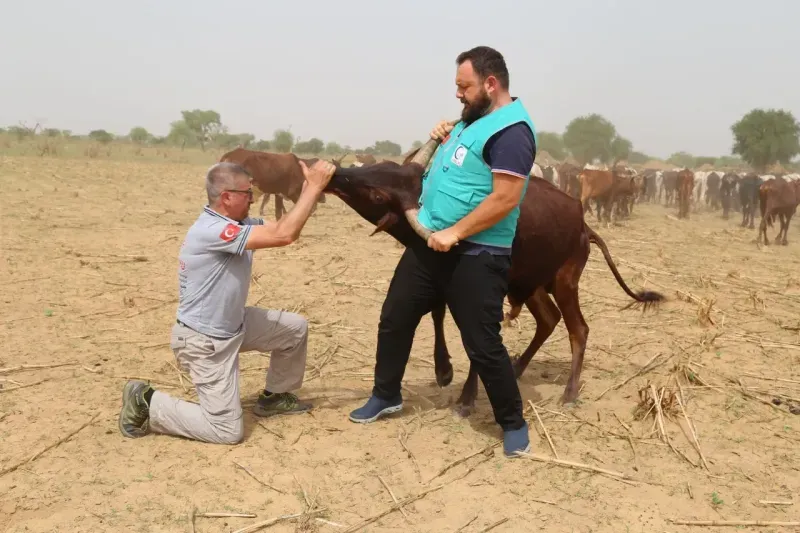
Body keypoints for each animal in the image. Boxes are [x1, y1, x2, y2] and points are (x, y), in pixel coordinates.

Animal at [318, 138, 664, 408]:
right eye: (383, 169)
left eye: (377, 195)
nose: (336, 174)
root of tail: (582, 225)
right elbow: (436, 313)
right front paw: (443, 370)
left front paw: (466, 397)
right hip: (533, 286)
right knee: (548, 320)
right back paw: (517, 367)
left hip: (565, 283)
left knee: (578, 329)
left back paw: (569, 392)